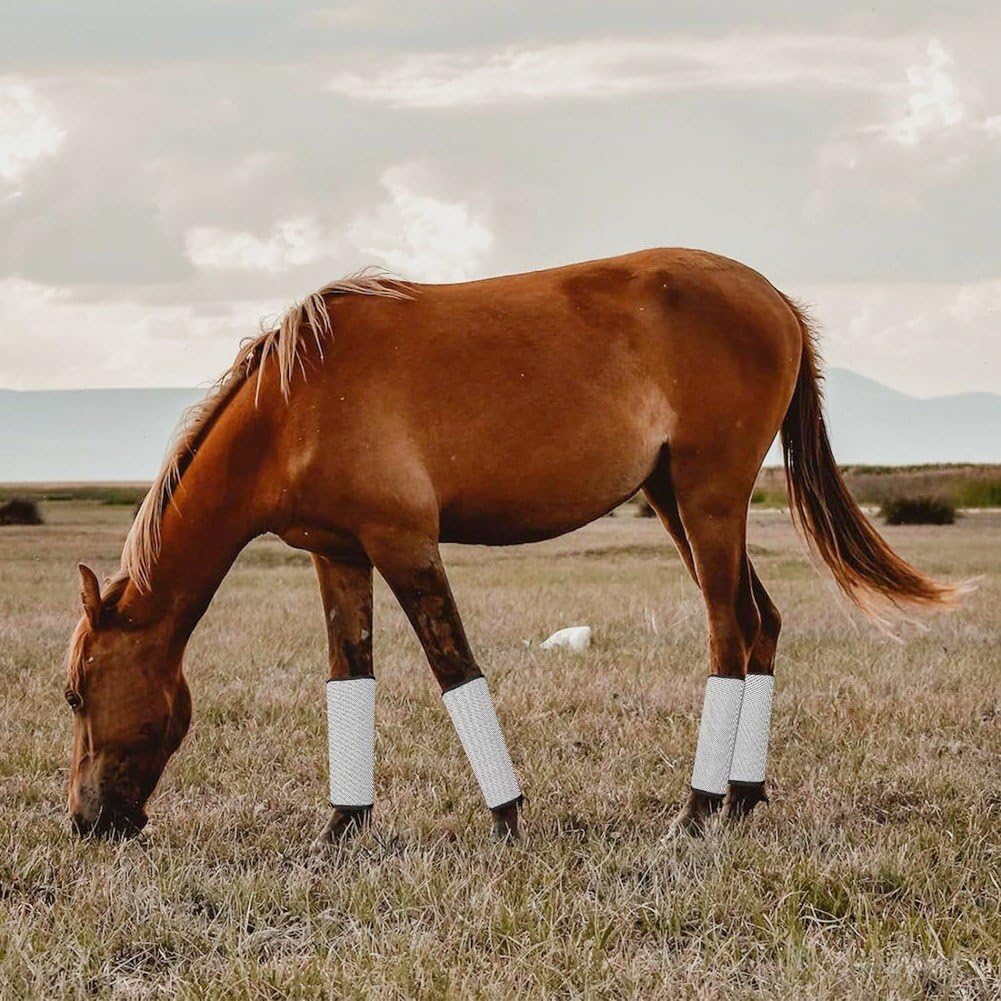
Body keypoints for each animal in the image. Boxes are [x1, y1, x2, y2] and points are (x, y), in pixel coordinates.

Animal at [62, 248, 961, 845]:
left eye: (74, 695)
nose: (84, 822)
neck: (295, 404)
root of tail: (773, 298)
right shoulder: (339, 554)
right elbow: (349, 674)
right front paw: (342, 826)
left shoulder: (404, 543)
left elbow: (454, 667)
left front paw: (506, 815)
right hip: (677, 501)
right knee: (762, 622)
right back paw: (741, 796)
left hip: (708, 501)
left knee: (729, 635)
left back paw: (696, 807)